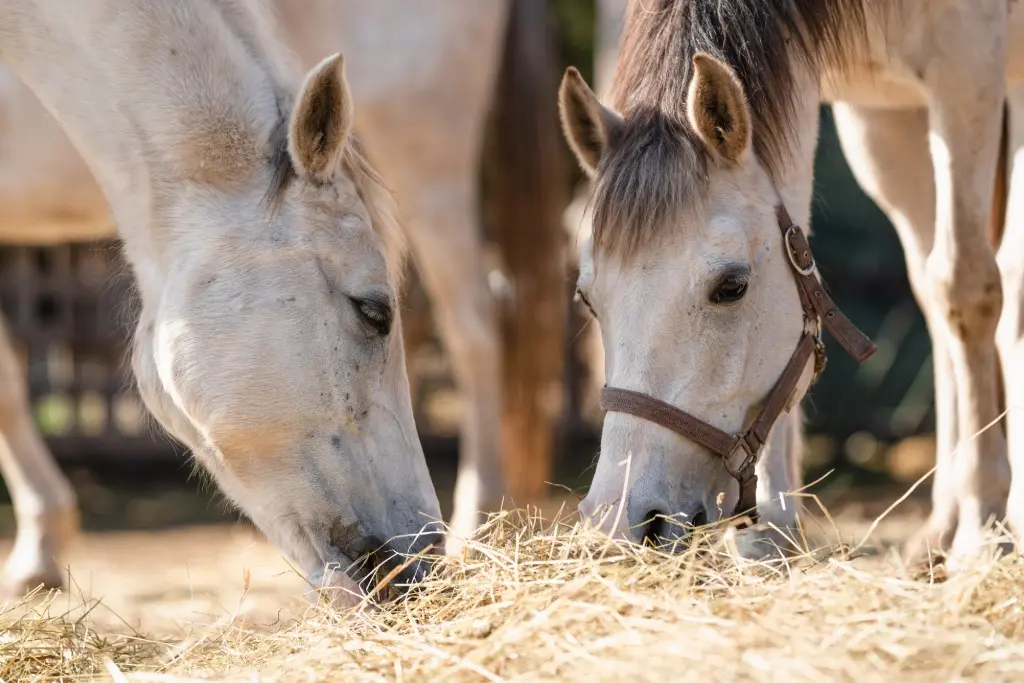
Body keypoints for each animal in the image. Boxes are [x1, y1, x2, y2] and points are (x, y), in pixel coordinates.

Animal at [559, 0, 1023, 565]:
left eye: (731, 287)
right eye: (588, 301)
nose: (618, 521)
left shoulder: (967, 69)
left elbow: (967, 290)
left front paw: (984, 529)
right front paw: (768, 533)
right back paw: (941, 526)